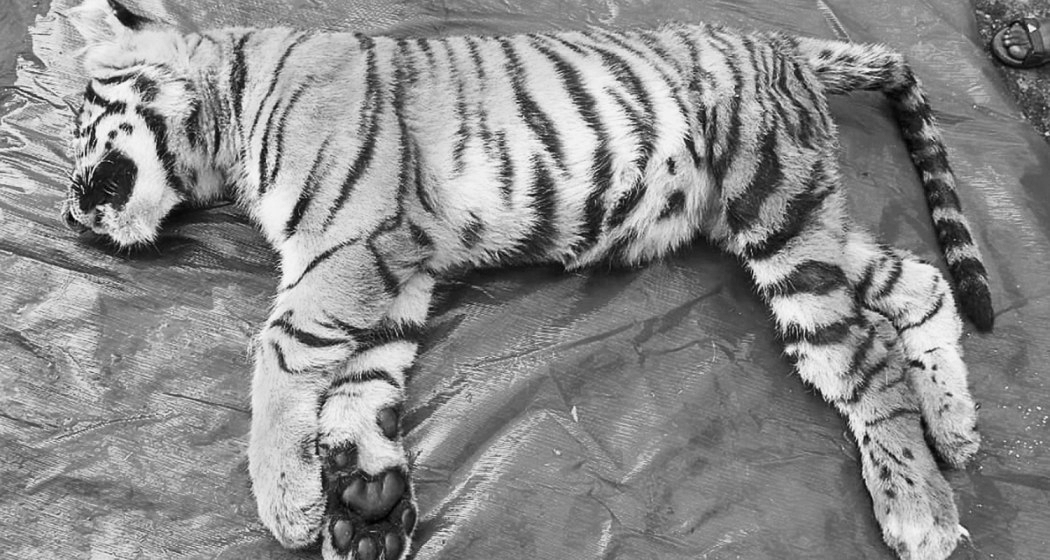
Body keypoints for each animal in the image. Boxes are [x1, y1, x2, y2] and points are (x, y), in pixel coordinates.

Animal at [61, 0, 995, 559]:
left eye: (78, 125)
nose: (69, 216)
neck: (228, 104)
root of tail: (778, 38)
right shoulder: (397, 273)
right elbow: (362, 383)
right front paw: (365, 501)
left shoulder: (350, 246)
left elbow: (282, 354)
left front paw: (285, 499)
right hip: (797, 219)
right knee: (919, 281)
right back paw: (955, 431)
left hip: (777, 211)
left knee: (865, 357)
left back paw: (922, 509)